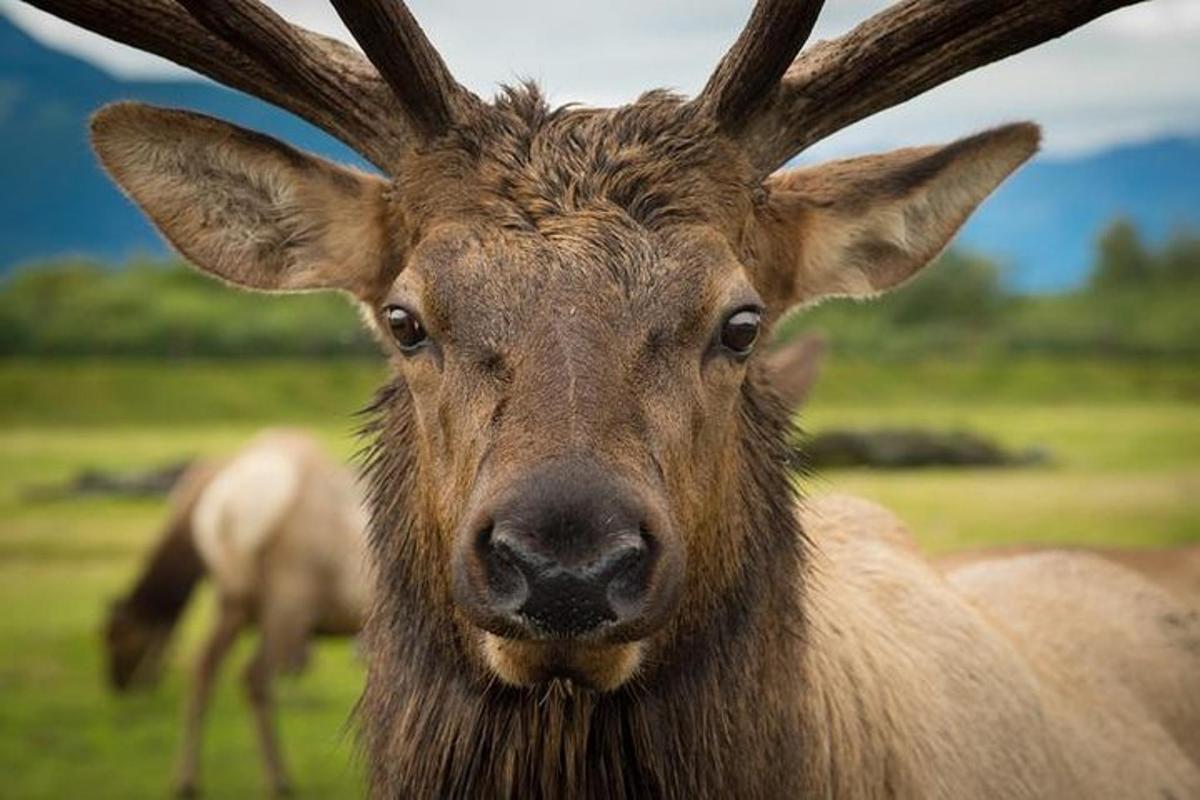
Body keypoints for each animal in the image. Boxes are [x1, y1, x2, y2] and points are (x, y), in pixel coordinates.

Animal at [107, 429, 369, 796]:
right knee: (253, 676)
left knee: (204, 667)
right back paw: (278, 778)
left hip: (237, 604)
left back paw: (188, 779)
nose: (117, 684)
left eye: (118, 639)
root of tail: (226, 513)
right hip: (287, 606)